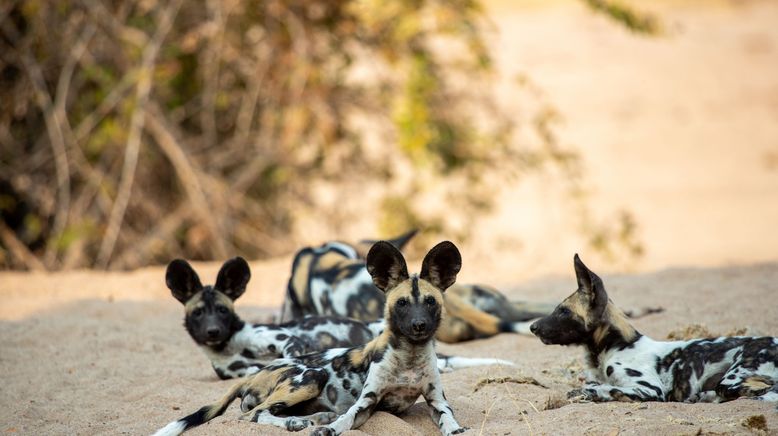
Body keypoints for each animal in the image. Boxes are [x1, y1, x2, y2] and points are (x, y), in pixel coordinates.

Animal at [152, 242, 466, 436]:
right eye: (401, 304)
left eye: (430, 302)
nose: (418, 325)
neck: (409, 358)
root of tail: (257, 372)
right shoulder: (365, 403)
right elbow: (347, 420)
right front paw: (332, 429)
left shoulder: (437, 401)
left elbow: (449, 419)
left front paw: (454, 429)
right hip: (310, 376)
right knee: (254, 416)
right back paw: (298, 422)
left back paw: (312, 419)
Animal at [528, 254, 776, 404]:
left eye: (563, 311)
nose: (532, 327)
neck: (613, 347)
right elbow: (593, 385)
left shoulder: (650, 388)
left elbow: (603, 388)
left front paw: (593, 393)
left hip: (731, 380)